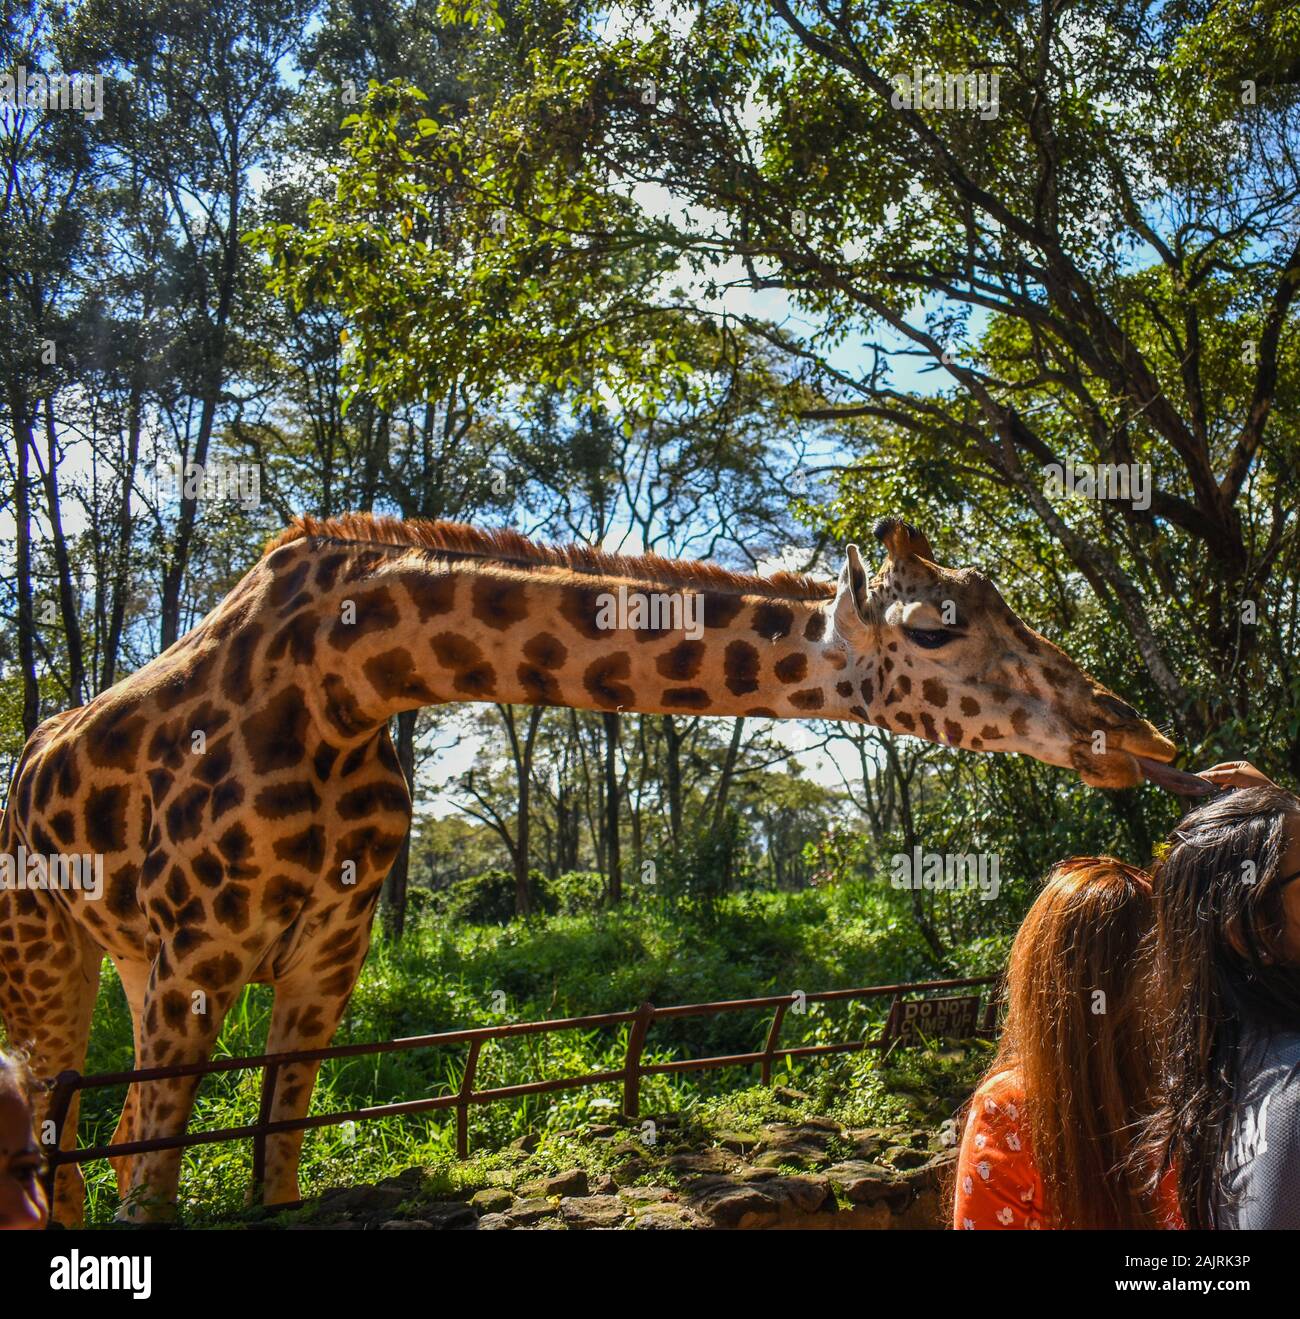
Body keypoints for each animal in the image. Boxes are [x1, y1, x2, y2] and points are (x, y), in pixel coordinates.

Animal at [0, 509, 1176, 1218]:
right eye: (934, 628)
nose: (1135, 730)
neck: (348, 682)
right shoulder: (199, 961)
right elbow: (149, 1185)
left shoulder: (323, 962)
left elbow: (270, 1165)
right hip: (50, 954)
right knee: (61, 1136)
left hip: (134, 963)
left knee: (91, 1135)